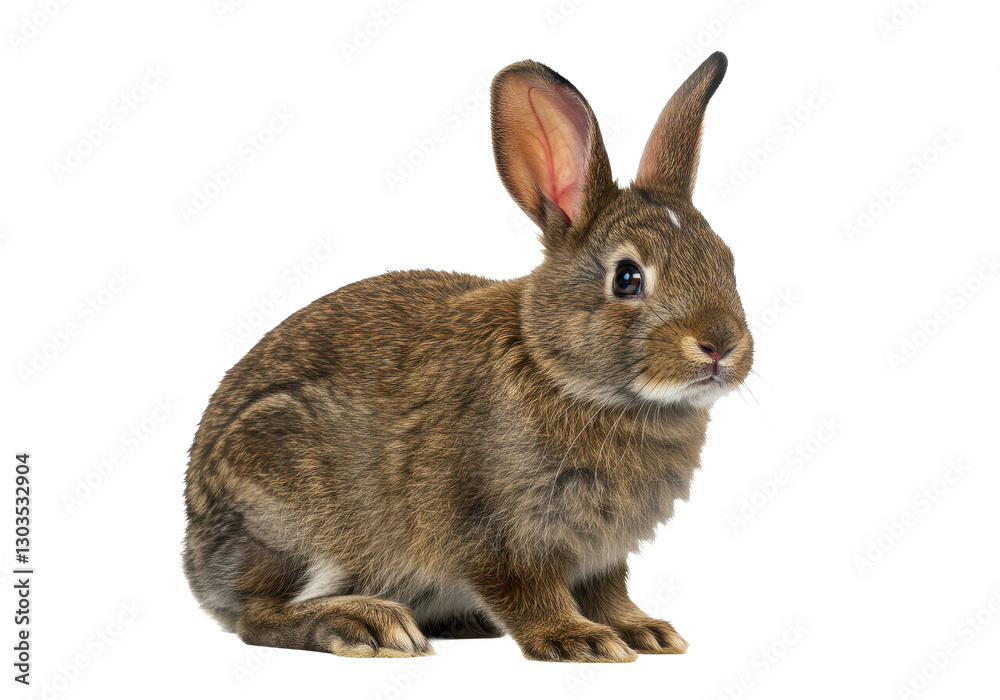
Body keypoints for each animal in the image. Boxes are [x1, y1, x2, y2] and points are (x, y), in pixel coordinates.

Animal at [183, 50, 753, 663]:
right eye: (627, 278)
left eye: (727, 260)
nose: (722, 344)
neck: (561, 372)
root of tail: (195, 556)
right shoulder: (496, 532)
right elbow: (529, 591)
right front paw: (580, 640)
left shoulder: (602, 554)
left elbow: (608, 591)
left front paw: (645, 631)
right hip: (289, 504)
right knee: (257, 616)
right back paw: (366, 624)